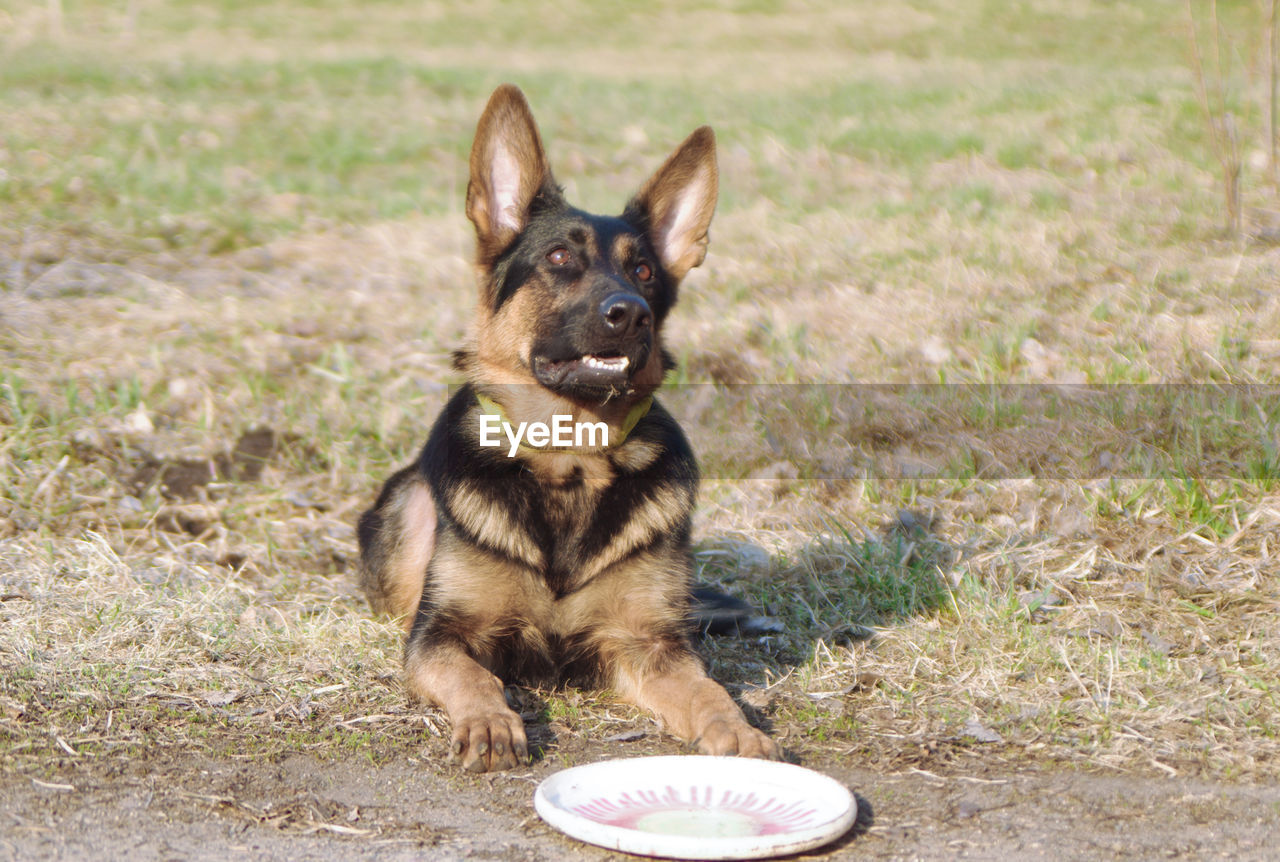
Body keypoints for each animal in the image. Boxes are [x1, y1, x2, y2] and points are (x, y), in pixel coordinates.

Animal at [353, 85, 778, 773]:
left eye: (645, 272)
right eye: (558, 258)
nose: (629, 314)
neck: (570, 459)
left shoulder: (648, 646)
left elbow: (706, 689)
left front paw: (735, 732)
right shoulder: (442, 637)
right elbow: (475, 677)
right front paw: (490, 722)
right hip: (407, 509)